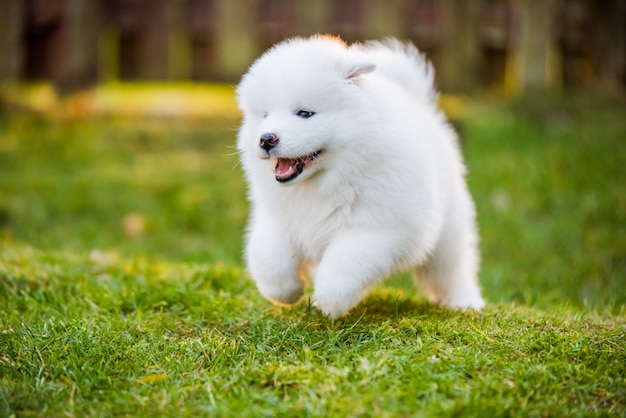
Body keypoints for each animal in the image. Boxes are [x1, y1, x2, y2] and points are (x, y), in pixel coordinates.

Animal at [234, 36, 482, 318]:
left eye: (305, 113)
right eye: (264, 115)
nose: (266, 139)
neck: (327, 180)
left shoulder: (378, 229)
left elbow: (345, 263)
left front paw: (328, 302)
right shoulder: (278, 219)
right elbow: (268, 259)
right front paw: (288, 292)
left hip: (447, 233)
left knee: (452, 271)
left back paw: (465, 302)